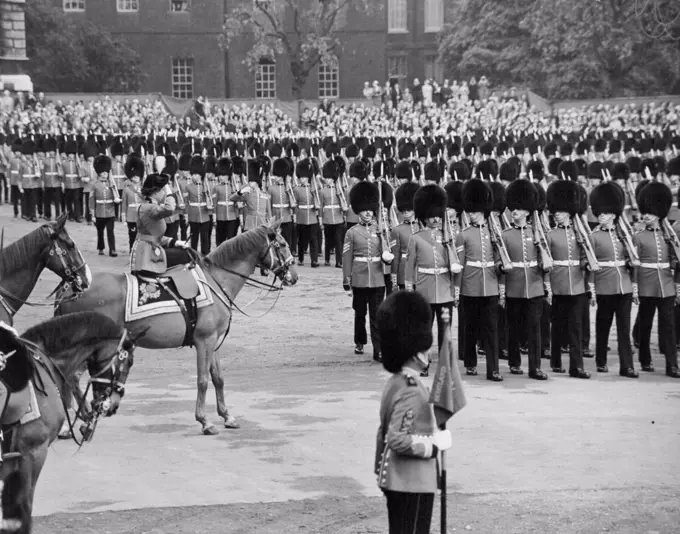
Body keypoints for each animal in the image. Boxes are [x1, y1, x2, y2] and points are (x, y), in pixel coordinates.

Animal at [55, 224, 294, 438]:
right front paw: (205, 421)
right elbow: (202, 380)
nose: (294, 275)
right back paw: (83, 417)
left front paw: (226, 416)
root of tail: (71, 291)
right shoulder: (204, 341)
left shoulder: (213, 342)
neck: (215, 280)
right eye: (282, 245)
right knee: (72, 377)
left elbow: (218, 378)